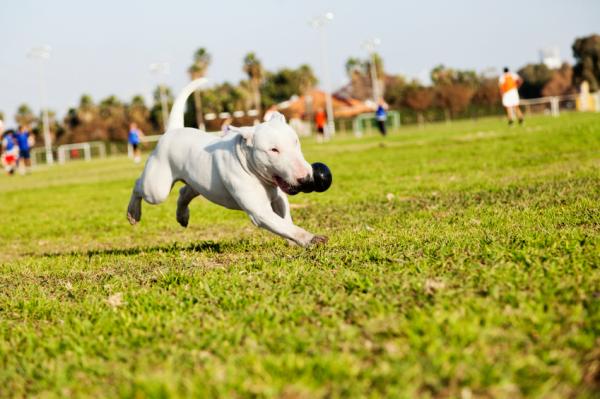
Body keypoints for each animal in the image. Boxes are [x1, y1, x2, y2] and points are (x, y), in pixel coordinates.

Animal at [126, 78, 328, 247]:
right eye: (273, 150)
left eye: (296, 142)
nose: (306, 177)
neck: (250, 165)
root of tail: (173, 131)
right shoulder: (259, 211)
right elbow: (284, 225)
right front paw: (310, 238)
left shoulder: (279, 198)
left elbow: (286, 220)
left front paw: (294, 242)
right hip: (156, 189)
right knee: (138, 185)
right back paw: (133, 213)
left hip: (198, 181)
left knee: (185, 191)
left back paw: (182, 215)